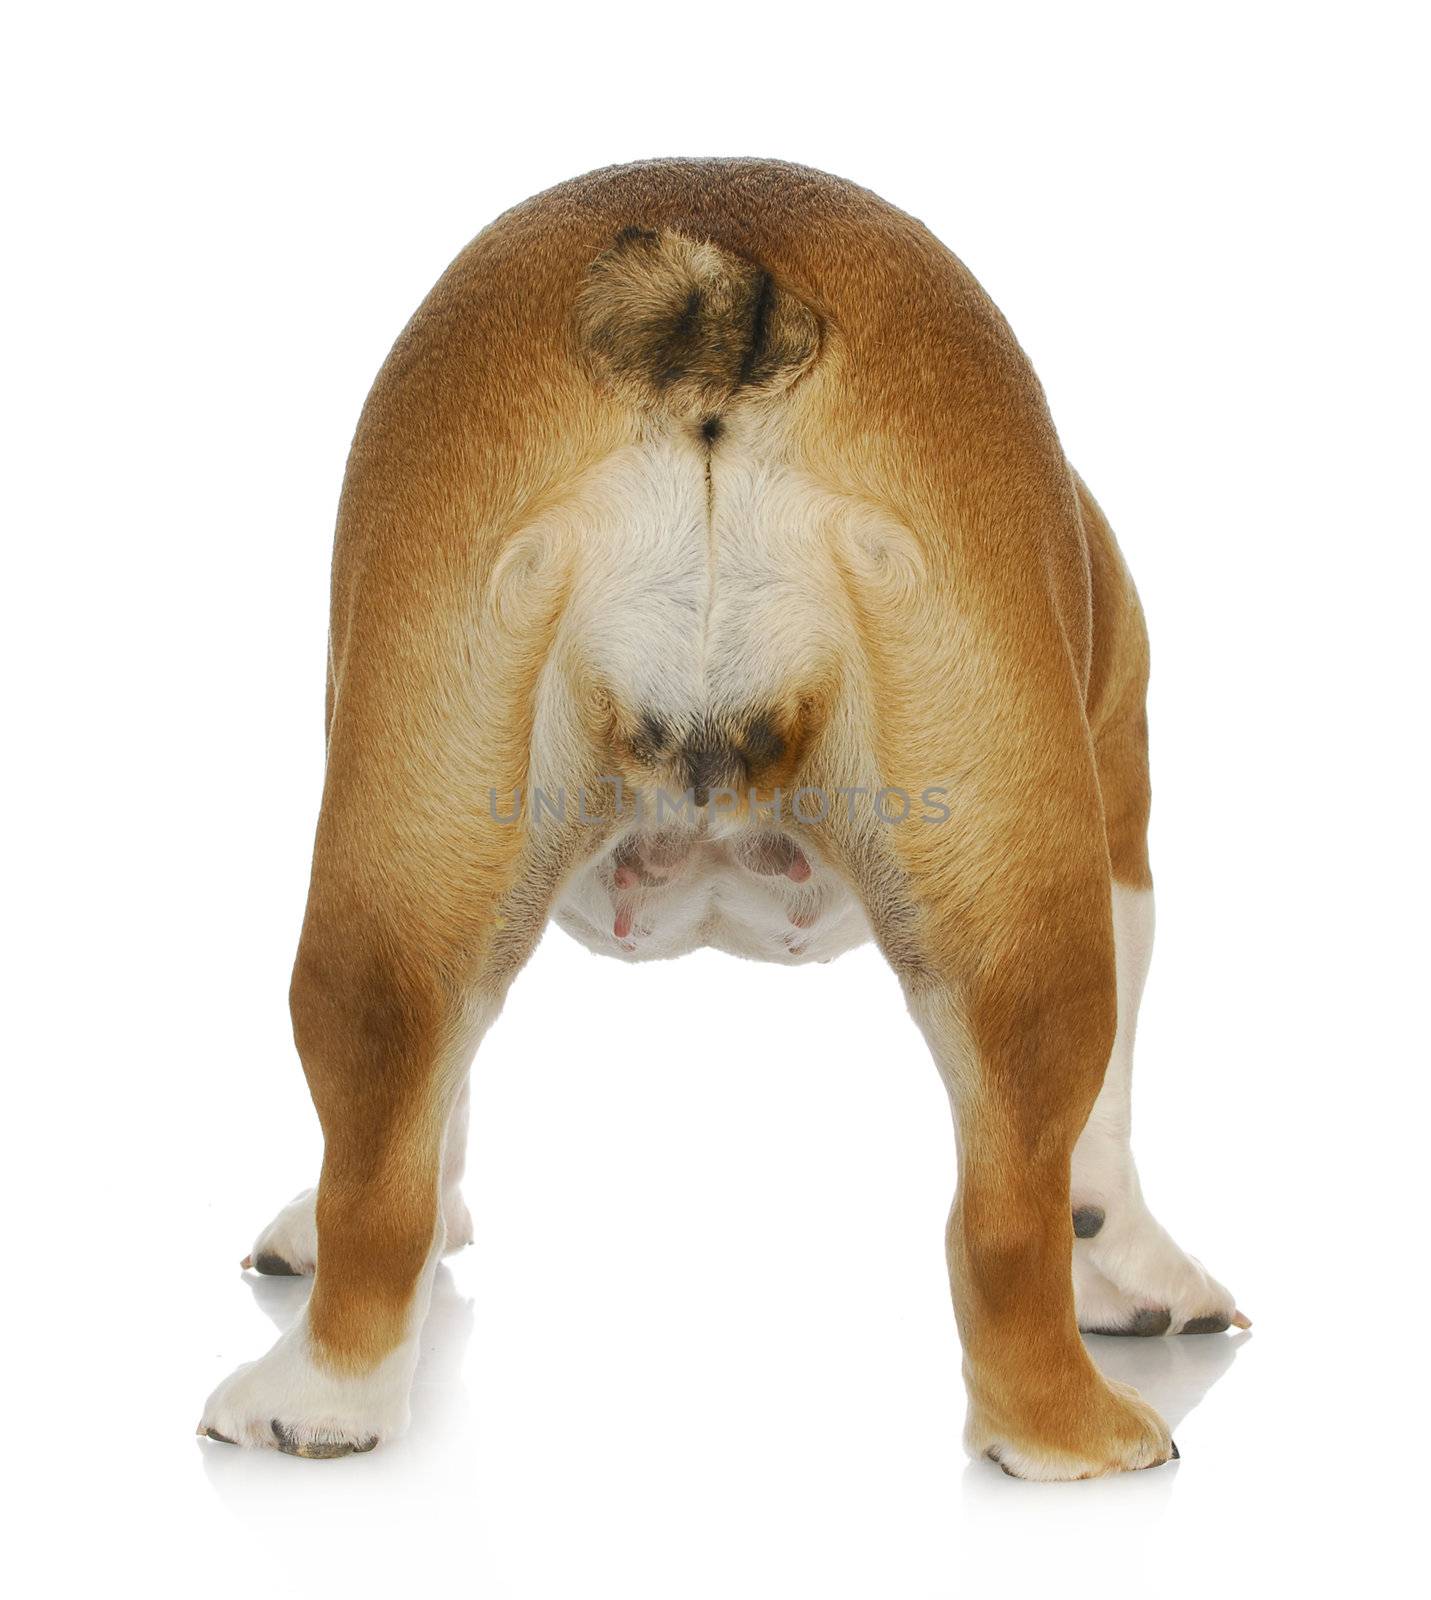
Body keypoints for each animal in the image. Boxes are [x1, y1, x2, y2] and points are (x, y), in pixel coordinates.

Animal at [198, 156, 1242, 1478]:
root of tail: (715, 283)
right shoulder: (1120, 814)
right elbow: (1102, 1133)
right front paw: (1131, 1262)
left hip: (407, 836)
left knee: (383, 1115)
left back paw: (318, 1399)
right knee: (1013, 1201)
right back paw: (1077, 1432)